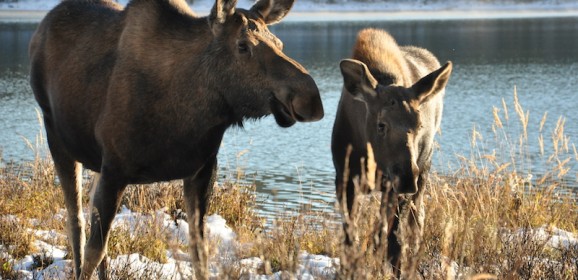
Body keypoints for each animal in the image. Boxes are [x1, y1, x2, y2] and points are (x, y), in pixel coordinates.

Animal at [330, 28, 452, 278]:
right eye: (381, 124)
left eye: (419, 125)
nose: (406, 178)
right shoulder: (344, 179)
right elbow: (350, 236)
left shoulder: (396, 186)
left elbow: (393, 239)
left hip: (422, 171)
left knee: (416, 220)